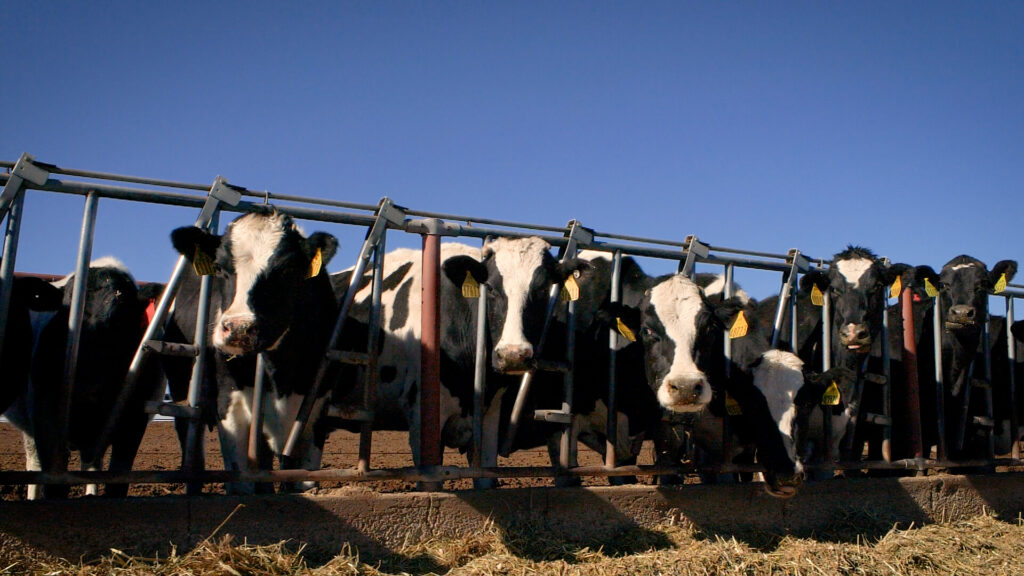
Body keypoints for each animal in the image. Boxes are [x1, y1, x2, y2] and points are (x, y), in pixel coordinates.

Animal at [3, 258, 161, 496]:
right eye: (64, 313)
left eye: (121, 313)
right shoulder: (46, 419)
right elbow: (53, 484)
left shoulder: (133, 424)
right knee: (34, 464)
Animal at [163, 208, 339, 491]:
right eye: (220, 268)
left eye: (288, 270)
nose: (238, 328)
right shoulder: (230, 405)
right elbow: (241, 481)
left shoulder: (317, 407)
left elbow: (303, 481)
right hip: (182, 391)